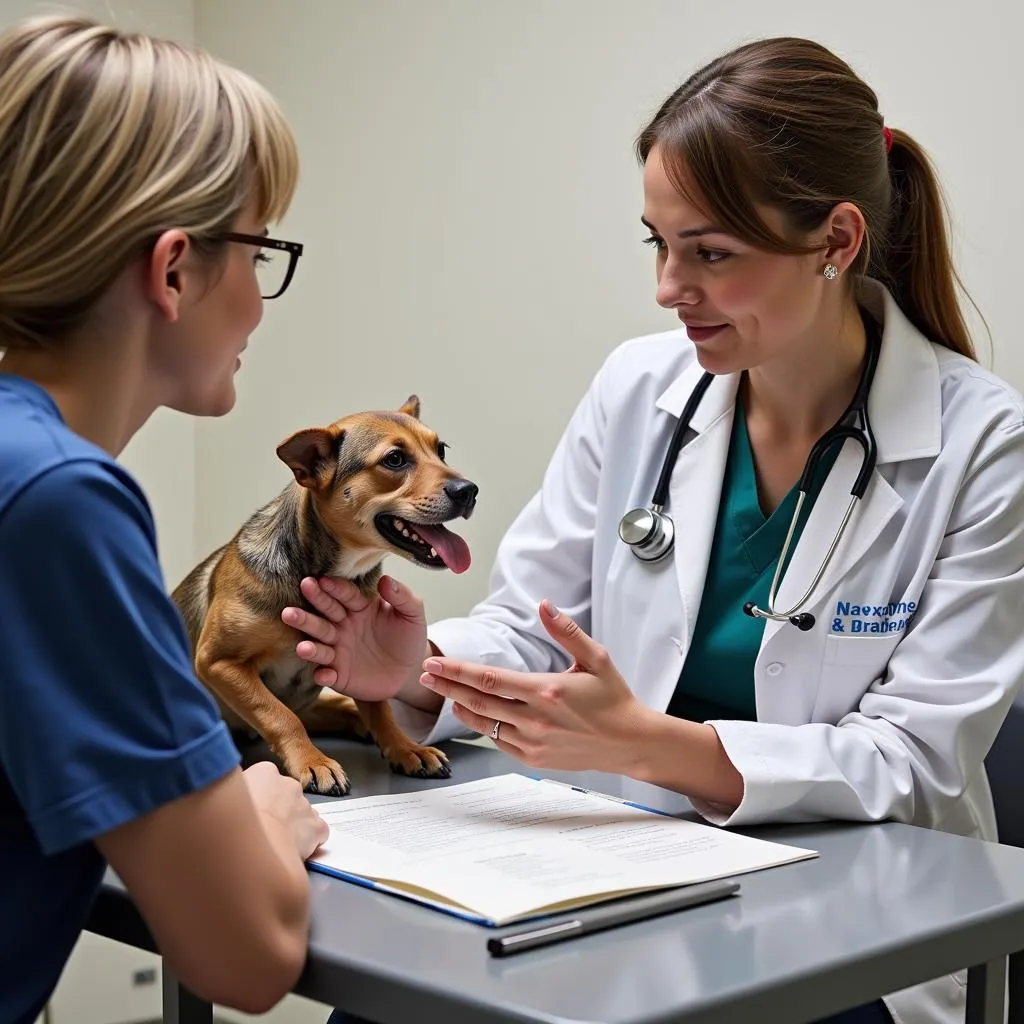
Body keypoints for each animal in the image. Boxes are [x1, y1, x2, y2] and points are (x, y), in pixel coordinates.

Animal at [174, 395, 477, 794]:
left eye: (440, 450)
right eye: (395, 459)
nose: (469, 491)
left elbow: (379, 707)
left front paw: (405, 747)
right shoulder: (217, 661)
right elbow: (279, 715)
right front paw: (313, 762)